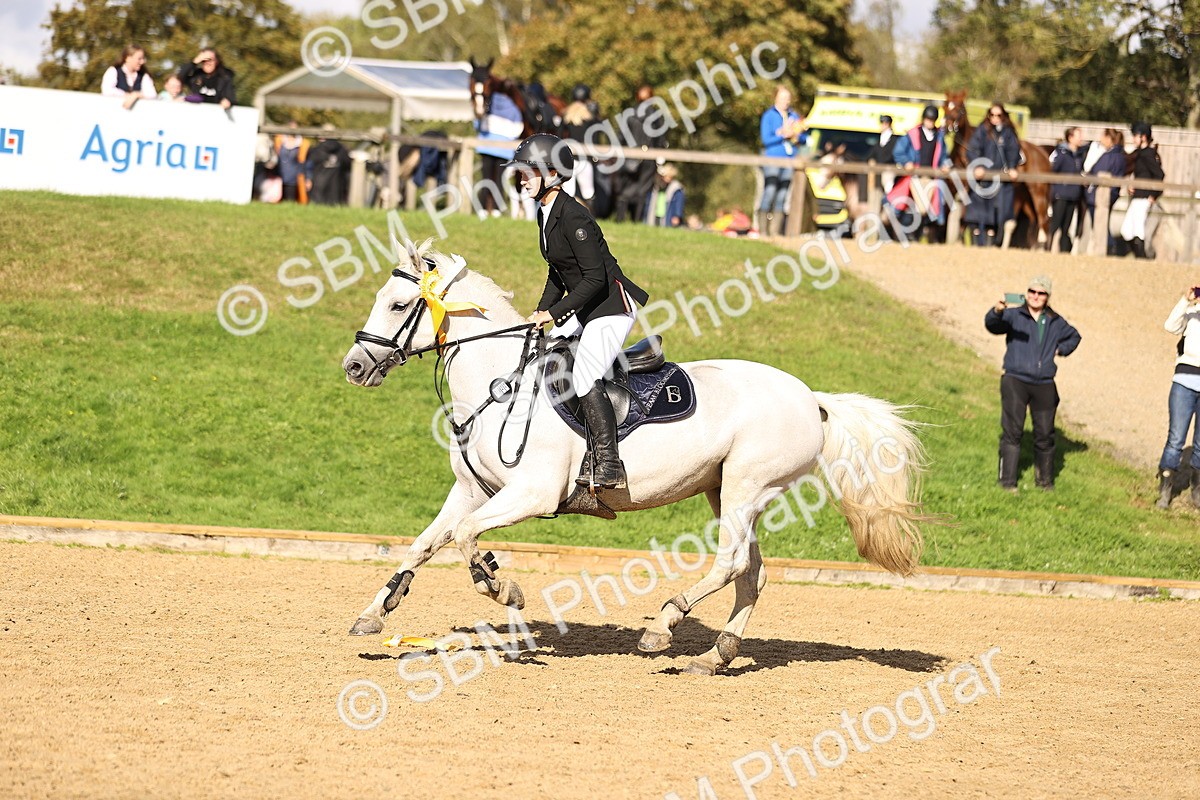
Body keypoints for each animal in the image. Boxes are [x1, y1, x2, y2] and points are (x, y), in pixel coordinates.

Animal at [340, 239, 933, 676]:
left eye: (398, 305)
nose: (353, 367)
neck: (498, 382)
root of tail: (812, 398)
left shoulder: (531, 494)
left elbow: (467, 540)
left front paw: (502, 587)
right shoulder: (470, 491)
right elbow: (422, 545)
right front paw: (376, 612)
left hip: (746, 486)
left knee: (730, 563)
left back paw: (662, 626)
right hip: (726, 490)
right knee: (752, 574)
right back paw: (713, 655)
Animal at [943, 90, 1053, 248]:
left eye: (960, 109)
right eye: (945, 105)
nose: (947, 126)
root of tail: (1042, 153)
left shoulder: (971, 188)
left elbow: (966, 215)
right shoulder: (954, 185)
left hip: (1038, 192)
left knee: (1043, 218)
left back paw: (1042, 246)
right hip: (1026, 197)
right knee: (1035, 219)